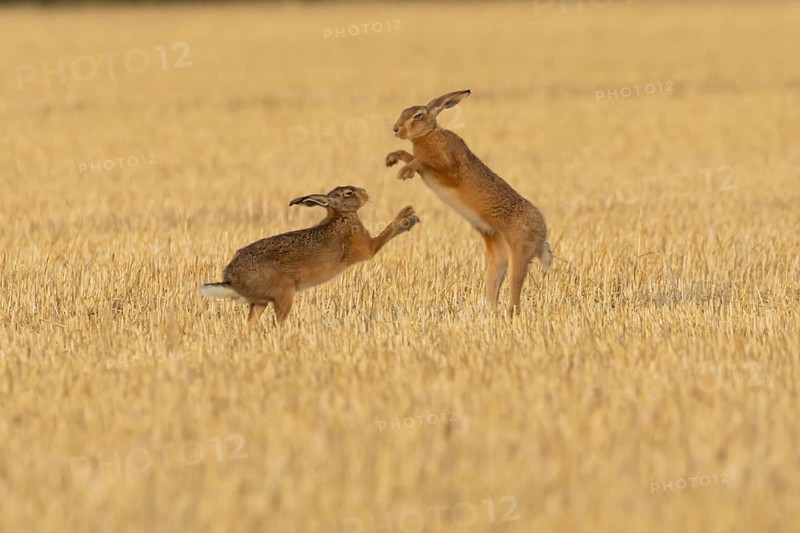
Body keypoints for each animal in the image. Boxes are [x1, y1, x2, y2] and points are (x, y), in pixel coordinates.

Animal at [201, 186, 420, 325]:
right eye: (349, 193)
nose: (365, 193)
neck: (341, 215)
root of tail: (231, 279)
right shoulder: (368, 248)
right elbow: (385, 233)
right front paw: (408, 214)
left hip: (261, 302)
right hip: (284, 294)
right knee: (276, 323)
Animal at [385, 89, 551, 315]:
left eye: (418, 116)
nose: (396, 129)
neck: (429, 134)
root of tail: (543, 233)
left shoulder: (448, 169)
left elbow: (421, 160)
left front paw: (404, 172)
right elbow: (409, 155)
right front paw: (392, 159)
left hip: (519, 253)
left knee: (515, 295)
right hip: (497, 257)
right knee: (494, 289)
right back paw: (490, 315)